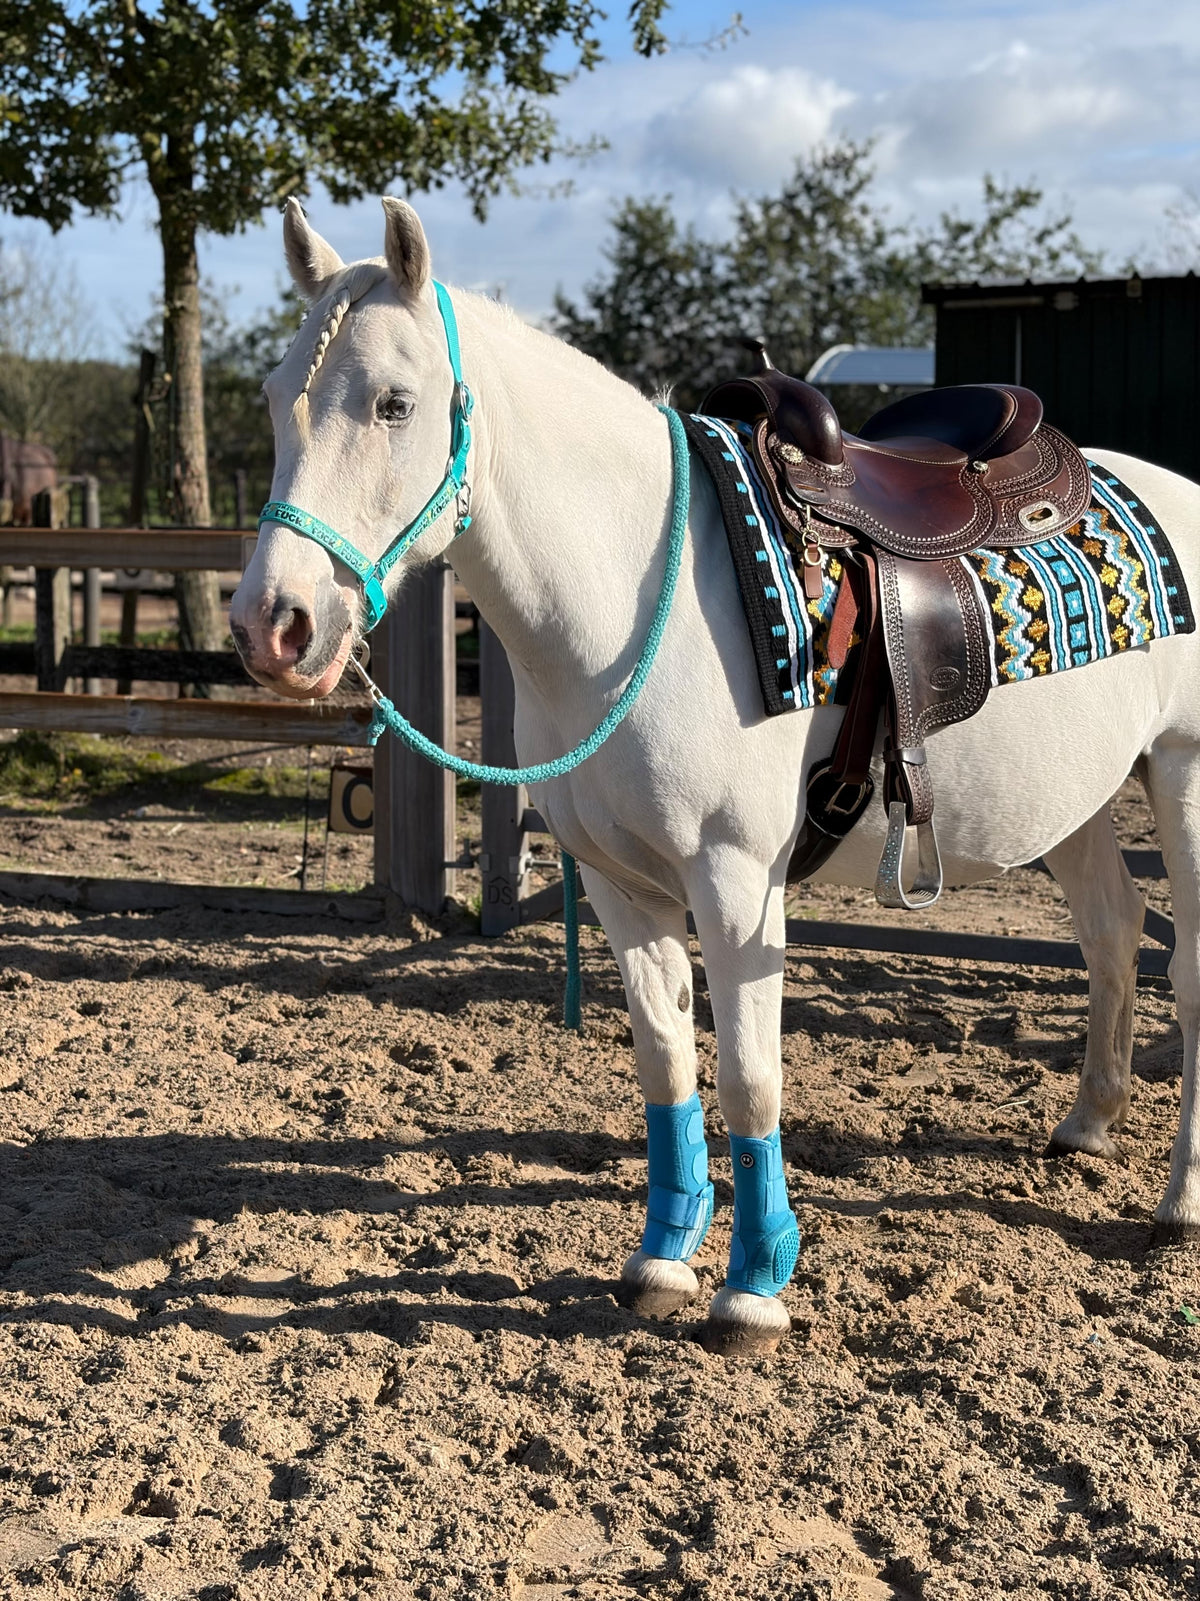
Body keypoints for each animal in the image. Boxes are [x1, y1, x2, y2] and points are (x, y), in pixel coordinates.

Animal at [230, 196, 1200, 1356]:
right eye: (276, 400)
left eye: (394, 403)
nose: (273, 625)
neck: (626, 590)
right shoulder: (620, 883)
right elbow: (666, 1061)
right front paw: (661, 1259)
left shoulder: (736, 881)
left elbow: (748, 1075)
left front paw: (754, 1285)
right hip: (1079, 799)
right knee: (1111, 927)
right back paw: (1090, 1122)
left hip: (1183, 780)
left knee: (1190, 970)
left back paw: (1179, 1204)